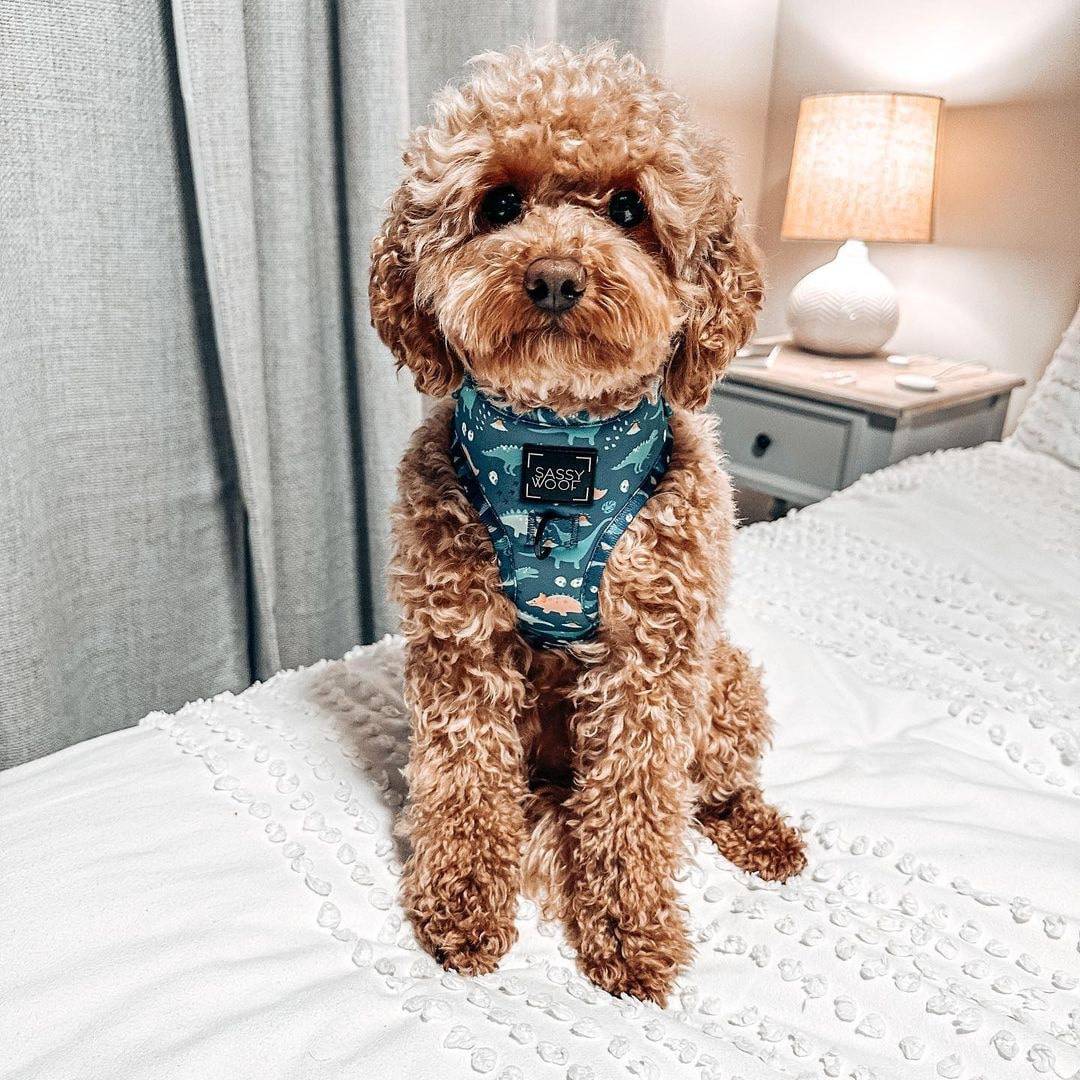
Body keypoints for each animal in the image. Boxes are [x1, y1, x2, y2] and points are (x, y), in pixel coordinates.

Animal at [369, 42, 803, 1002]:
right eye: (499, 204)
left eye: (629, 209)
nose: (556, 278)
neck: (557, 443)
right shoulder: (461, 646)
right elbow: (463, 784)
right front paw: (462, 902)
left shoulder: (654, 658)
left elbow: (638, 805)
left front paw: (631, 930)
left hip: (727, 681)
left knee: (707, 788)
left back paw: (760, 833)